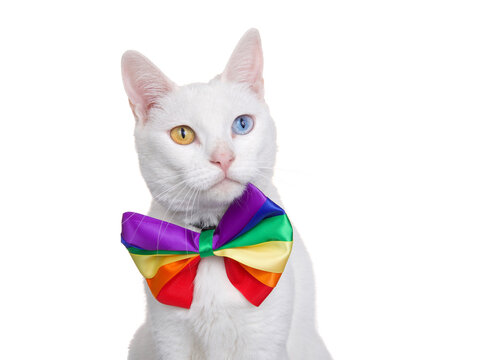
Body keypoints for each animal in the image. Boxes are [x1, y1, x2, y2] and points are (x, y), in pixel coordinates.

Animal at [121, 28, 330, 360]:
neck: (214, 237)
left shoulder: (264, 340)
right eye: (183, 134)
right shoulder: (169, 338)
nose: (223, 158)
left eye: (242, 124)